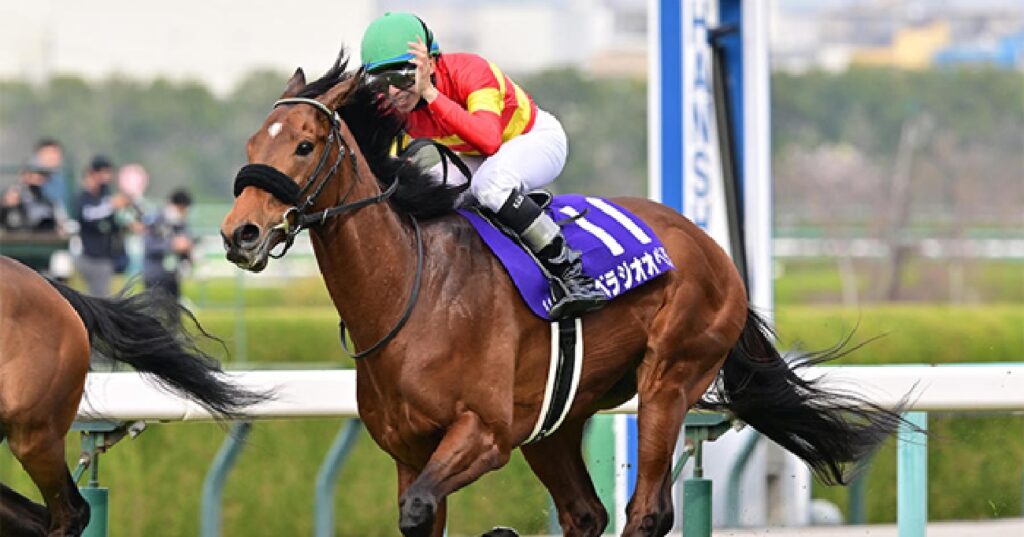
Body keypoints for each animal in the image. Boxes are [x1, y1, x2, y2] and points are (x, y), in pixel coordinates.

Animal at [220, 52, 905, 537]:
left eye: (304, 144)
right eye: (253, 144)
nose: (239, 233)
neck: (411, 297)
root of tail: (711, 247)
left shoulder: (485, 434)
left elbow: (421, 506)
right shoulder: (409, 453)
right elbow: (417, 513)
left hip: (669, 377)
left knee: (646, 511)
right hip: (557, 420)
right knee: (586, 514)